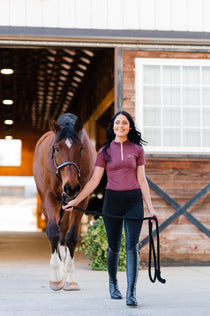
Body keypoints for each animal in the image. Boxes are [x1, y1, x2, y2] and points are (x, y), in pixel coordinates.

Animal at [33, 113, 97, 292]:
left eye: (81, 148)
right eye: (56, 148)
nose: (71, 187)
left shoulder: (81, 199)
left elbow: (71, 237)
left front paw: (71, 278)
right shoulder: (49, 196)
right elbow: (52, 232)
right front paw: (55, 277)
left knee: (63, 231)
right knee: (54, 229)